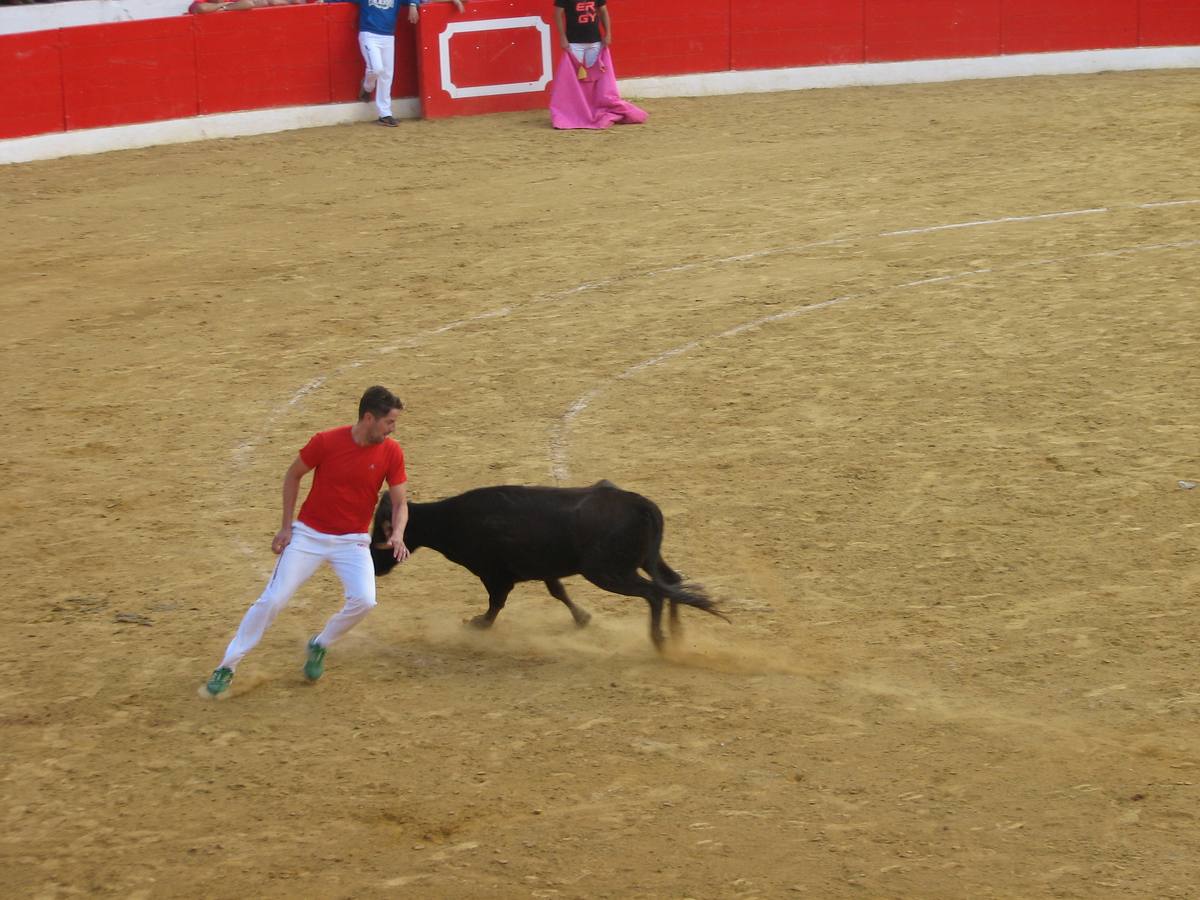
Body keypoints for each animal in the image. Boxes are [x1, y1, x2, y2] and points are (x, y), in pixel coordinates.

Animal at [374, 482, 724, 652]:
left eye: (381, 532)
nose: (375, 569)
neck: (452, 520)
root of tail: (642, 505)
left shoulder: (495, 575)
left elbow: (495, 604)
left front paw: (477, 625)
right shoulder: (544, 570)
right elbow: (558, 591)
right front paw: (583, 618)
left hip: (609, 572)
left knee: (655, 593)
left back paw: (660, 641)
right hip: (644, 562)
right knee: (673, 583)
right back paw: (677, 634)